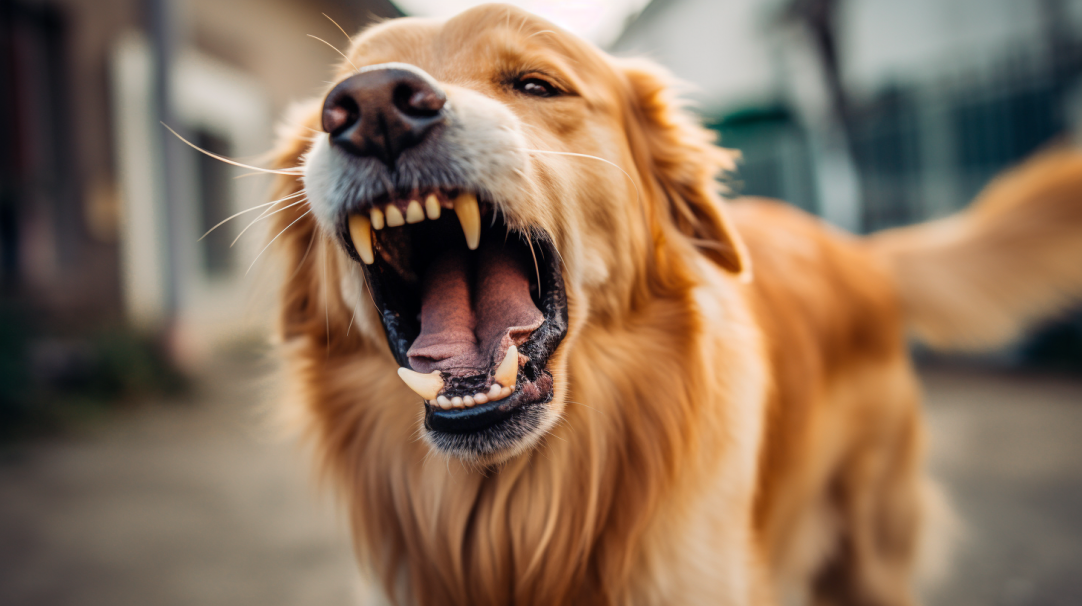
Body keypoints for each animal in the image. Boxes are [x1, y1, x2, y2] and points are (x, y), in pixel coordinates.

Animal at [261, 3, 1082, 601]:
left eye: (535, 84)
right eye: (342, 93)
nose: (373, 106)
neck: (519, 528)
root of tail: (857, 251)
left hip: (870, 555)